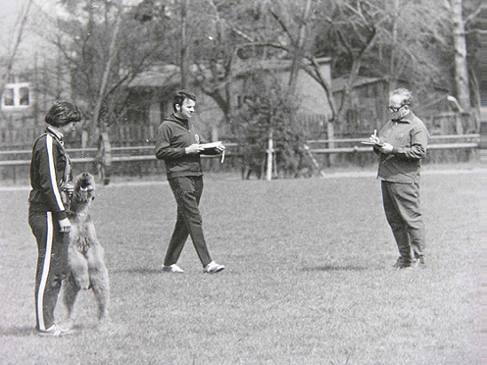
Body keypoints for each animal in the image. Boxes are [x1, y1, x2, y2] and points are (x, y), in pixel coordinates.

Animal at [62, 171, 109, 328]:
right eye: (77, 176)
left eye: (91, 175)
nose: (85, 174)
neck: (80, 212)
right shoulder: (71, 246)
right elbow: (79, 263)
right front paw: (83, 280)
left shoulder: (93, 244)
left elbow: (95, 261)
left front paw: (93, 272)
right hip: (69, 286)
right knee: (69, 307)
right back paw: (67, 323)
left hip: (101, 285)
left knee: (102, 305)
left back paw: (103, 323)